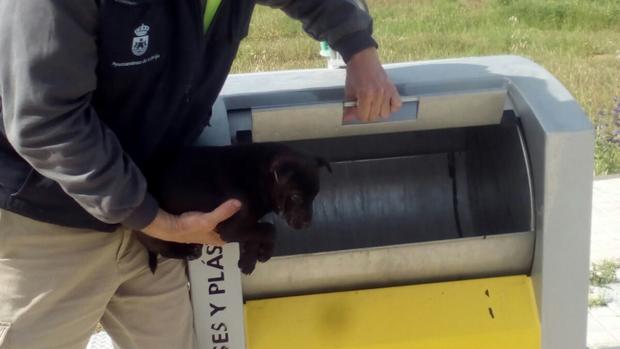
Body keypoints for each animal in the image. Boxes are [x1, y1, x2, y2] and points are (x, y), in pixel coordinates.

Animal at [134, 143, 330, 274]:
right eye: (296, 197)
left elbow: (257, 232)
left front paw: (248, 260)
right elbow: (269, 228)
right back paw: (187, 252)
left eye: (315, 196)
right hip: (157, 236)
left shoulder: (246, 224)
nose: (307, 225)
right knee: (163, 249)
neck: (258, 177)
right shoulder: (229, 228)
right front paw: (265, 252)